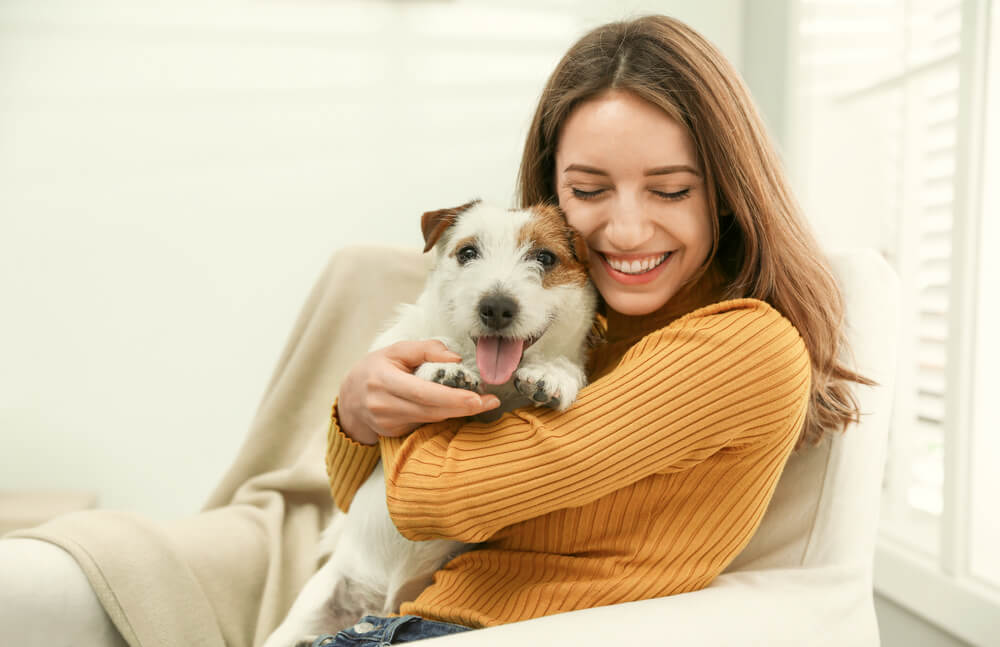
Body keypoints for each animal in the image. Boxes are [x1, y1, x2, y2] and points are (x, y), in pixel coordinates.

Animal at [262, 200, 596, 644]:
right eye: (467, 252)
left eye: (545, 258)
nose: (496, 307)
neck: (494, 380)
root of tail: (377, 604)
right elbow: (426, 345)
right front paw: (444, 367)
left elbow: (564, 368)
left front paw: (552, 374)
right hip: (312, 608)